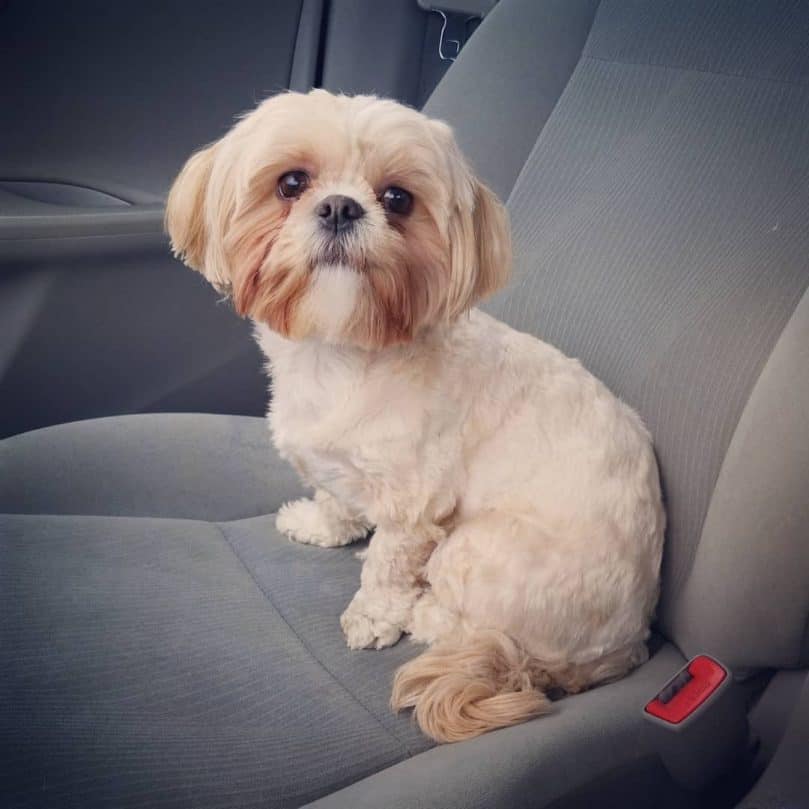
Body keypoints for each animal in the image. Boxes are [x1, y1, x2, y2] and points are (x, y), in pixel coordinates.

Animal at [164, 90, 664, 744]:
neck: (344, 354)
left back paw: (428, 610)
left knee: (470, 625)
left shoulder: (415, 504)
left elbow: (387, 564)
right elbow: (335, 497)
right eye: (291, 183)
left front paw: (374, 615)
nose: (340, 207)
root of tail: (627, 648)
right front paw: (320, 526)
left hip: (481, 552)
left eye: (398, 198)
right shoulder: (337, 466)